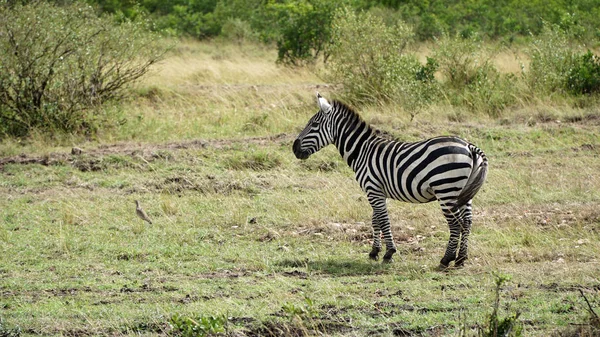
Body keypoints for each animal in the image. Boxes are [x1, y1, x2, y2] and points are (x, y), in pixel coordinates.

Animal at [292, 93, 488, 266]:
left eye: (314, 124)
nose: (294, 148)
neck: (362, 151)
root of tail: (469, 146)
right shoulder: (377, 191)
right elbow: (375, 220)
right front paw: (374, 251)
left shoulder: (372, 189)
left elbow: (383, 220)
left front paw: (389, 253)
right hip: (463, 192)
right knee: (467, 222)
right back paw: (461, 259)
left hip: (445, 189)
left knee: (456, 224)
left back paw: (446, 259)